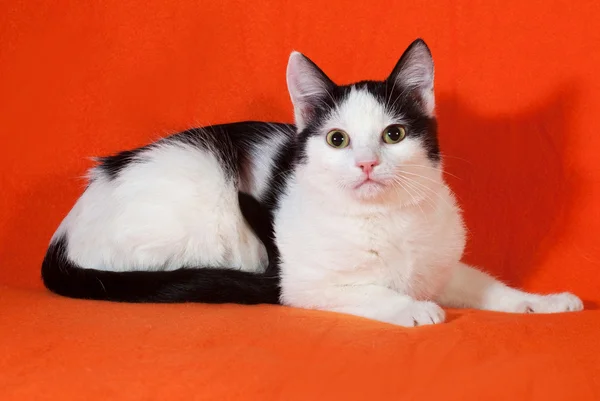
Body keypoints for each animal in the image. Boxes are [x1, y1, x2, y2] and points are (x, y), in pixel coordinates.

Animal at [41, 37, 580, 324]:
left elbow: (492, 288)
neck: (385, 219)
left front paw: (543, 302)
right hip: (203, 209)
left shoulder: (442, 268)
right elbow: (369, 290)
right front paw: (412, 309)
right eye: (338, 140)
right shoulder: (307, 284)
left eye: (394, 134)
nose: (366, 164)